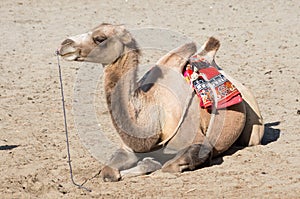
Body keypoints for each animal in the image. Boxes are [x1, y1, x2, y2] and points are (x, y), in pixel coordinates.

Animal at [57, 23, 264, 182]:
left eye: (99, 38)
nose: (64, 44)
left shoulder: (200, 144)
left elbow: (168, 166)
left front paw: (150, 164)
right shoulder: (129, 148)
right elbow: (108, 170)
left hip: (254, 129)